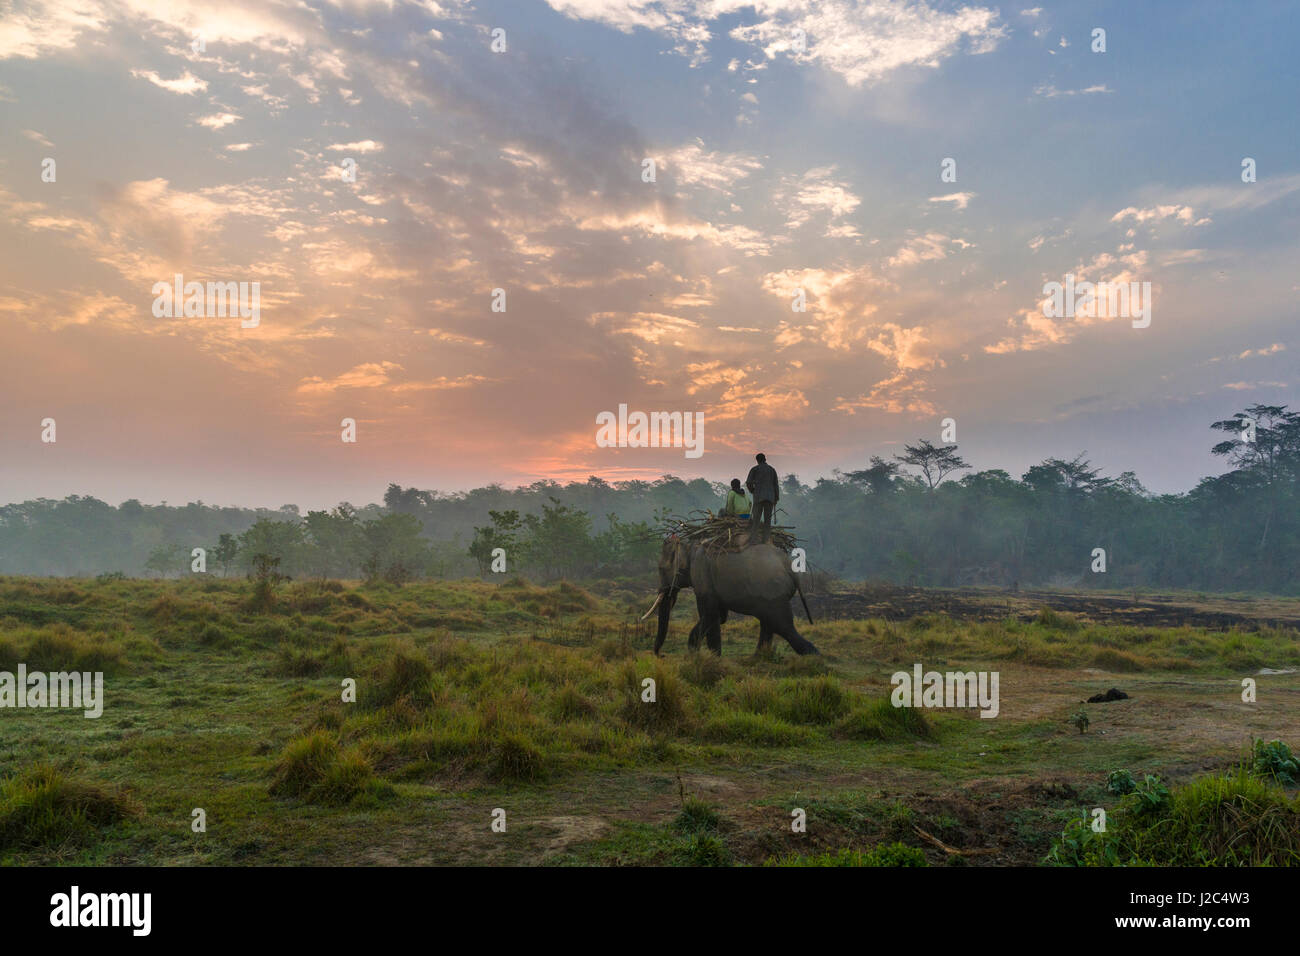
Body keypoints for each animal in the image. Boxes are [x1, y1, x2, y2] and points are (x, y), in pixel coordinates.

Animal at [642, 530, 816, 658]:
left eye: (661, 569)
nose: (660, 655)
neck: (689, 545)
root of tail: (789, 565)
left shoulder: (701, 571)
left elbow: (710, 614)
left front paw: (710, 657)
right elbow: (719, 616)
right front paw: (699, 654)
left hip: (773, 590)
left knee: (781, 624)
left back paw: (813, 655)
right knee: (769, 621)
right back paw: (758, 657)